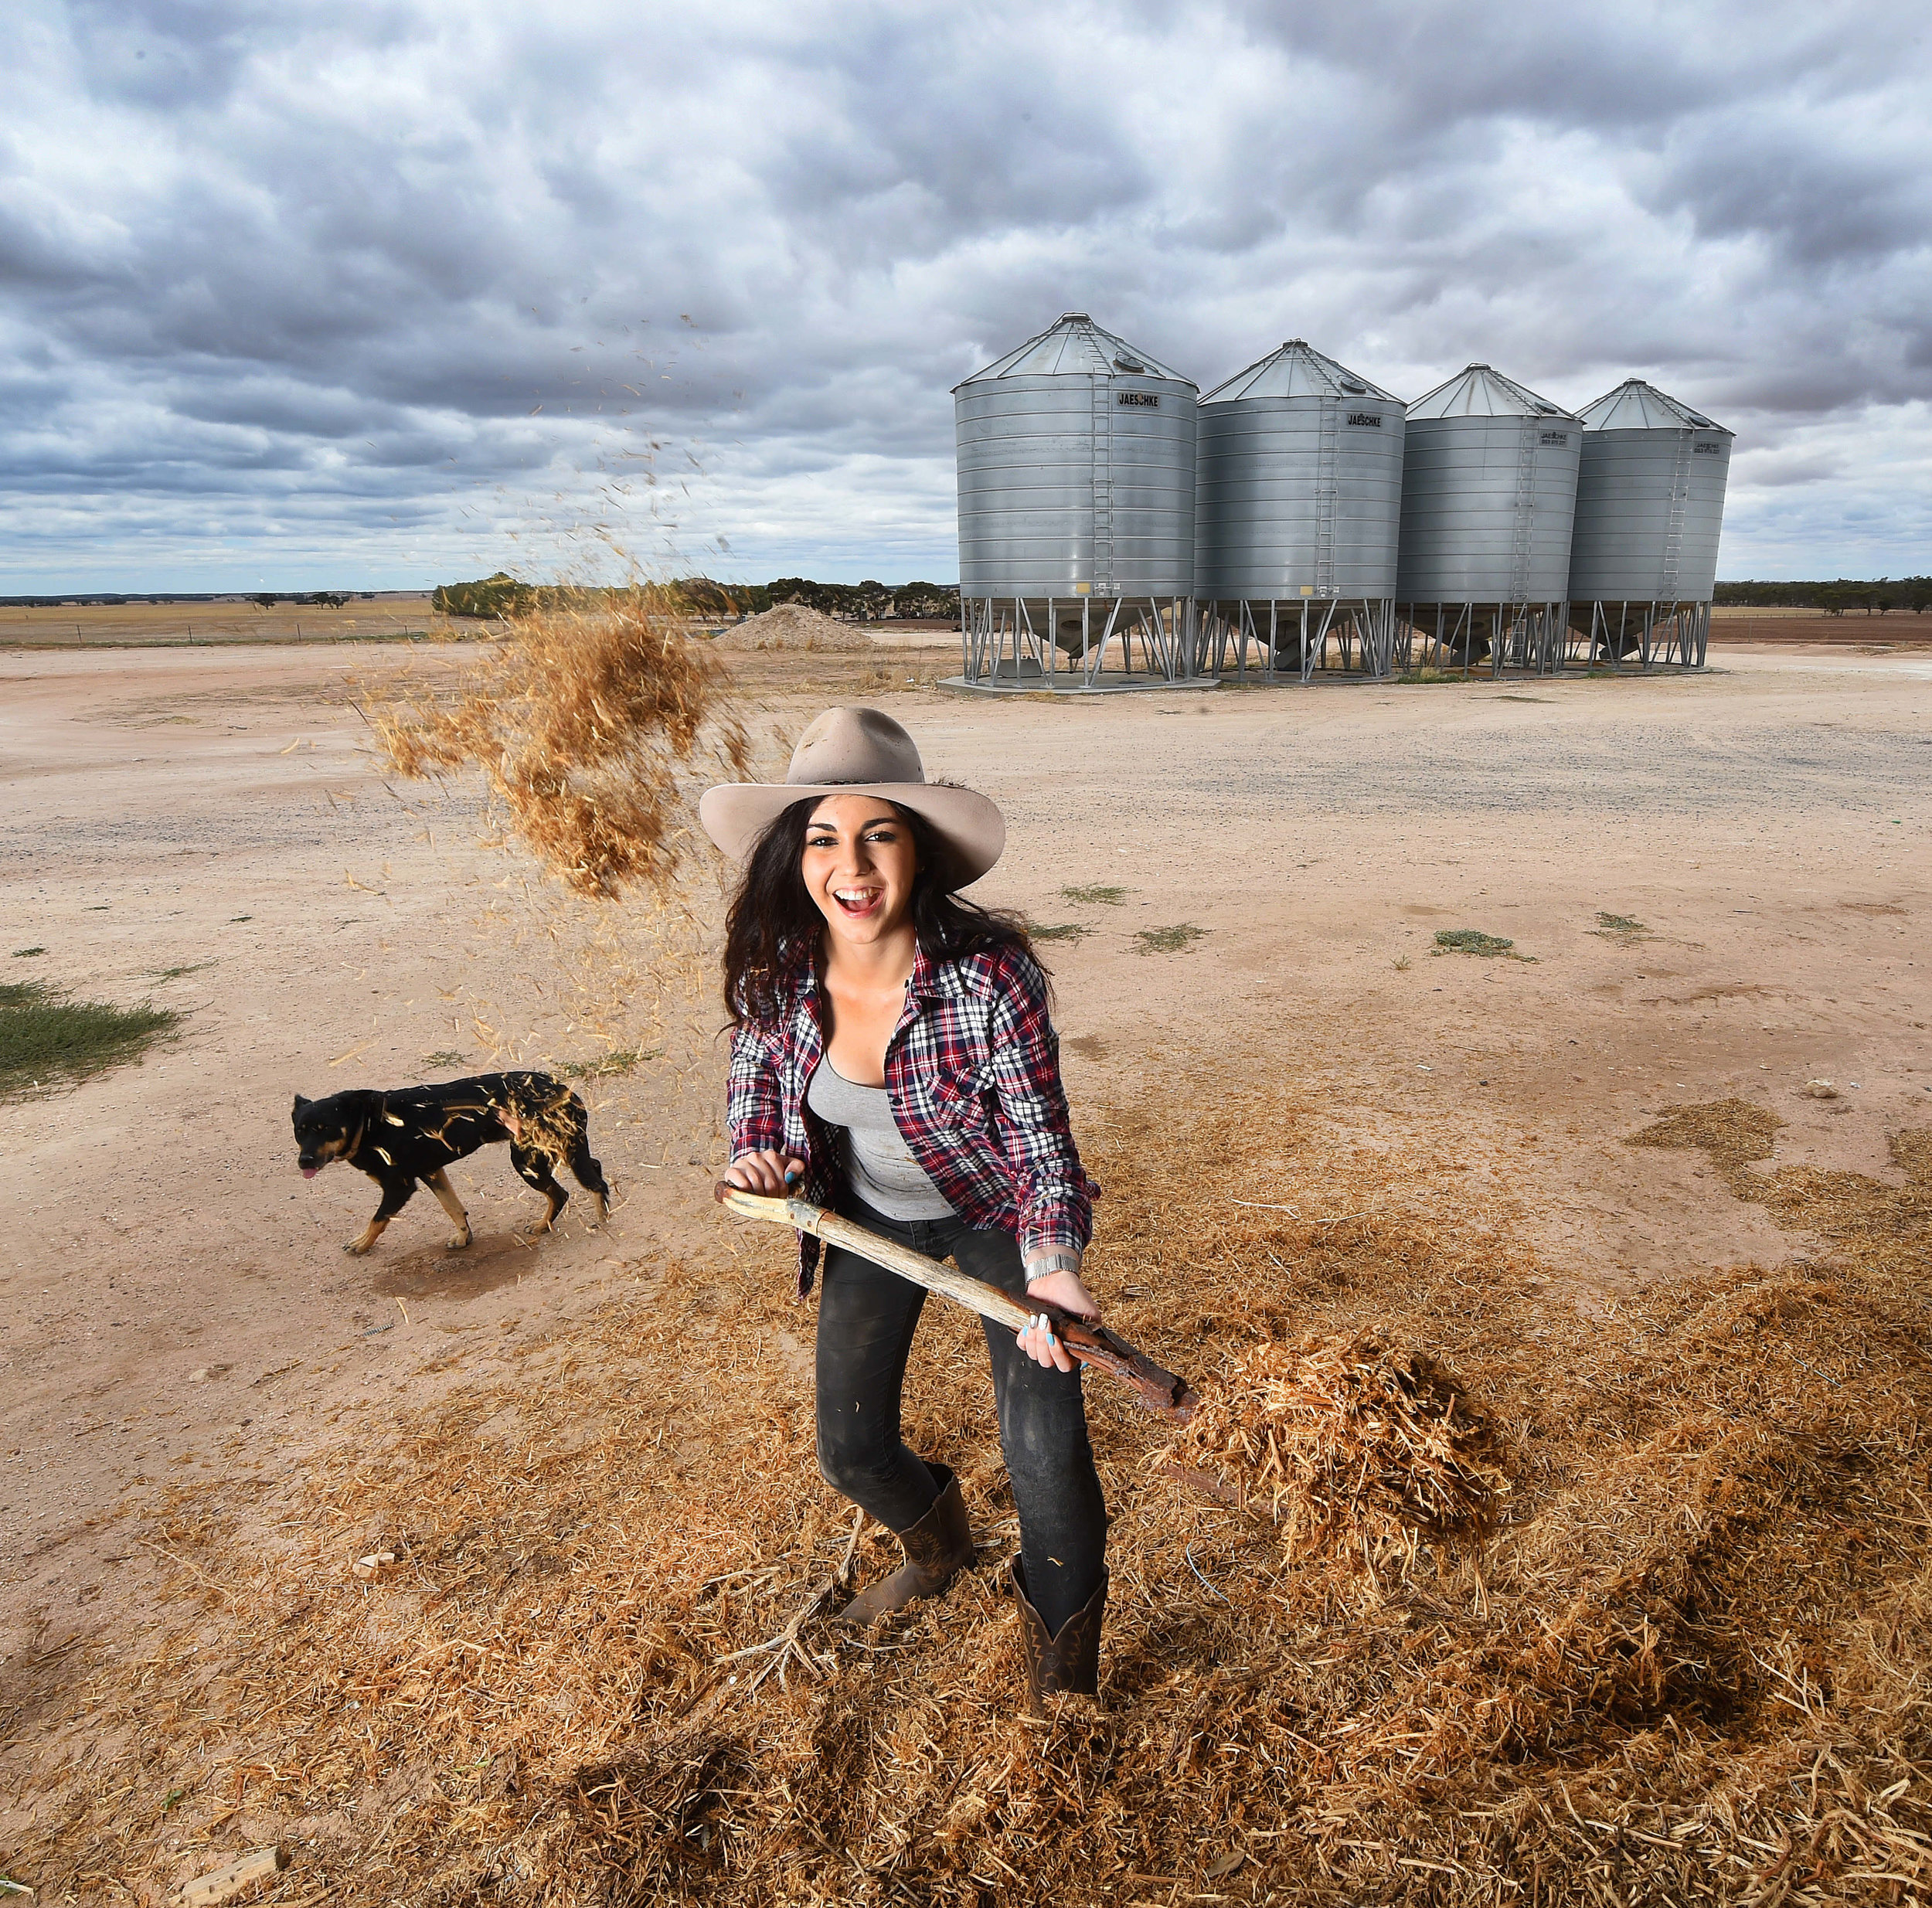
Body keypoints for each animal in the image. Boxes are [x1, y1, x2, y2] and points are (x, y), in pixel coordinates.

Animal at [291, 1073, 611, 1251]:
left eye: (325, 1128)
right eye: (300, 1131)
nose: (304, 1160)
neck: (366, 1123)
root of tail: (566, 1092)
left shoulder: (399, 1187)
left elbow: (377, 1219)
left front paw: (362, 1243)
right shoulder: (433, 1172)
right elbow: (453, 1207)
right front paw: (463, 1238)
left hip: (527, 1161)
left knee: (575, 1188)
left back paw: (600, 1218)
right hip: (548, 1155)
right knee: (586, 1175)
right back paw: (548, 1224)